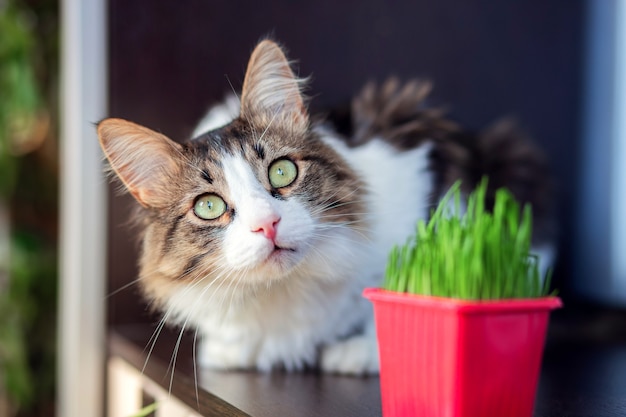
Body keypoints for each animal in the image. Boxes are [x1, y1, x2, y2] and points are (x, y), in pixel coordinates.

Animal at [96, 39, 552, 376]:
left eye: (281, 172)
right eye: (208, 206)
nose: (268, 224)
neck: (284, 291)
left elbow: (403, 292)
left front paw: (363, 352)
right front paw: (230, 351)